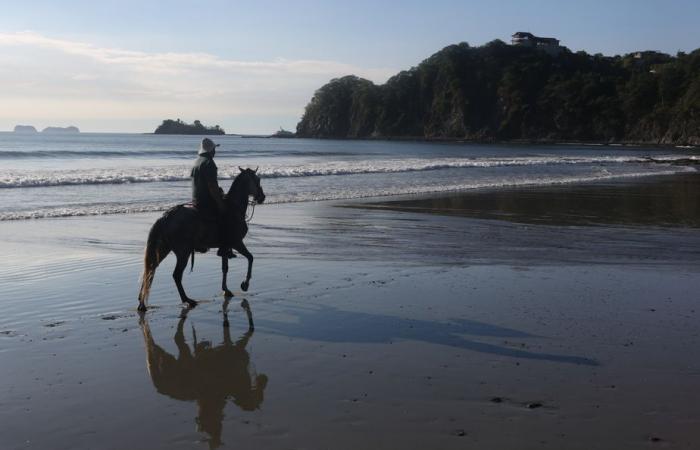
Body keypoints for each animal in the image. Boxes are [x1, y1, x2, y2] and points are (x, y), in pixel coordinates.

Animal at [137, 167, 266, 312]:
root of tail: (166, 217)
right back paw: (187, 300)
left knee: (150, 270)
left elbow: (225, 267)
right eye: (257, 180)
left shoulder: (226, 246)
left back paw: (142, 303)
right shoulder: (236, 242)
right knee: (176, 275)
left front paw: (226, 290)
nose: (262, 197)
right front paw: (245, 284)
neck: (234, 208)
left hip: (164, 249)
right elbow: (250, 258)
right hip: (183, 252)